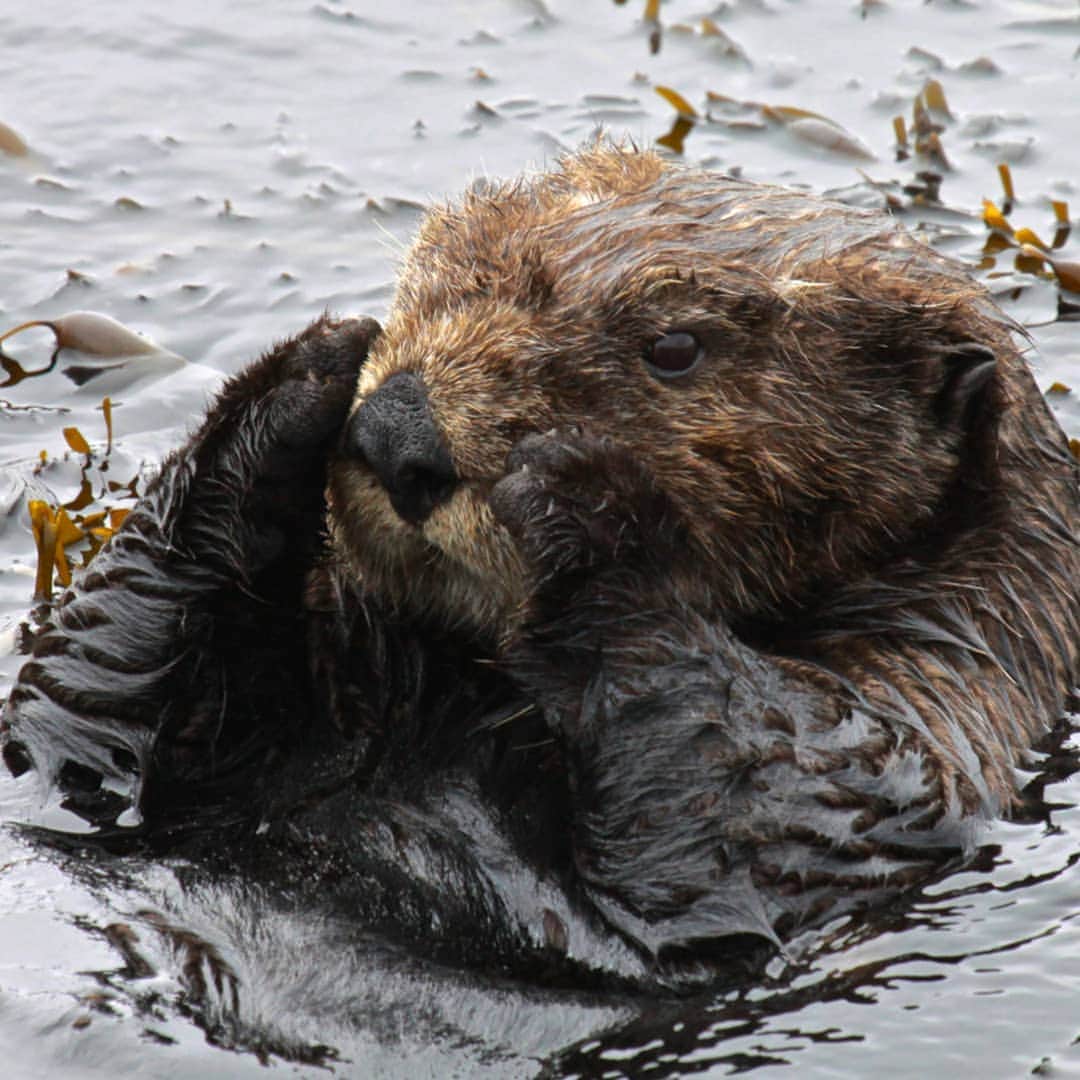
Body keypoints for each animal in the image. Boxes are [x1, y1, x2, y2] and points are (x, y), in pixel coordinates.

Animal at [2, 146, 1078, 989]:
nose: (398, 431)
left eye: (675, 346)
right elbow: (74, 714)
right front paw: (306, 374)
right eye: (432, 268)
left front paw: (581, 494)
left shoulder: (922, 729)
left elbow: (750, 801)